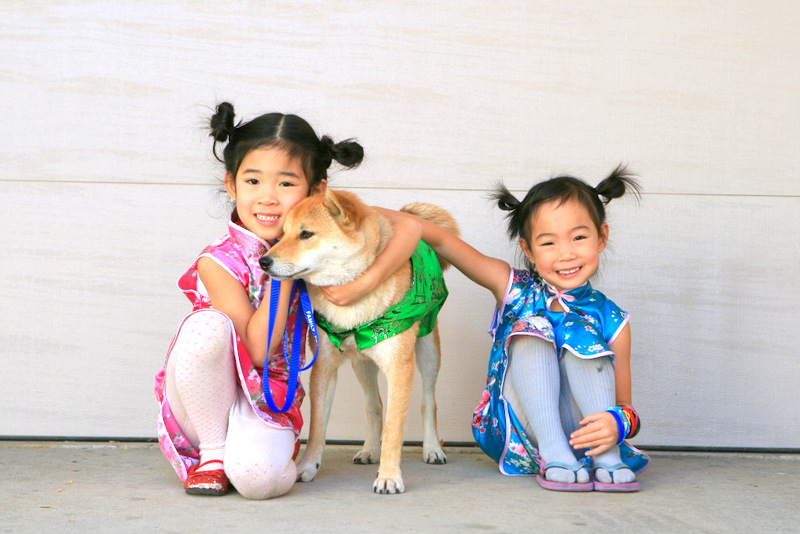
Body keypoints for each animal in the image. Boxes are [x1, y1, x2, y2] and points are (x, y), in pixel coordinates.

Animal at [259, 189, 459, 494]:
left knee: (428, 402)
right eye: (282, 234)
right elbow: (318, 425)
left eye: (306, 234)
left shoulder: (399, 367)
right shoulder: (324, 366)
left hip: (428, 353)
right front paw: (308, 466)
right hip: (361, 363)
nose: (263, 261)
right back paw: (369, 450)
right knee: (374, 405)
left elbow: (394, 429)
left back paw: (432, 448)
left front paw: (389, 476)